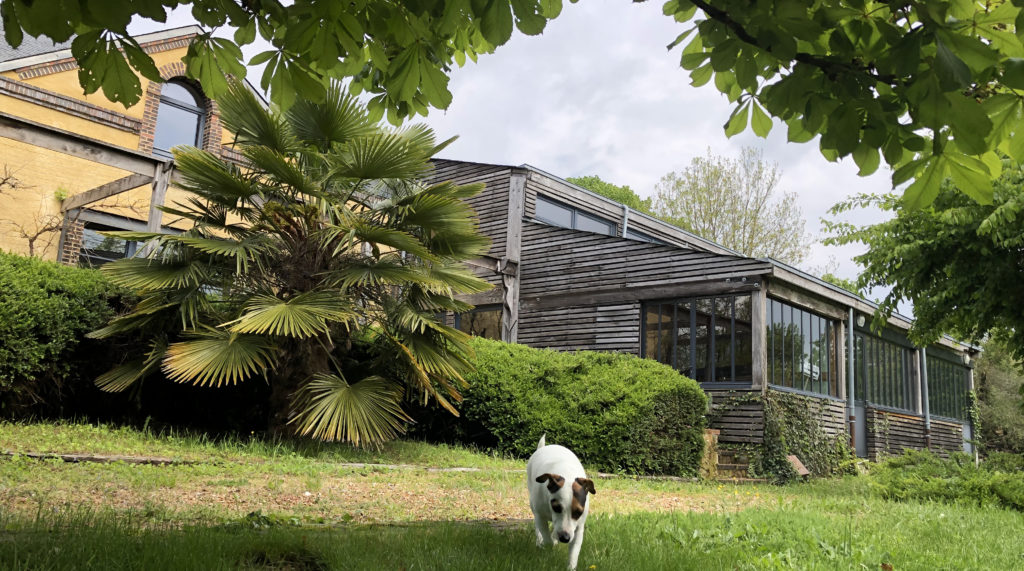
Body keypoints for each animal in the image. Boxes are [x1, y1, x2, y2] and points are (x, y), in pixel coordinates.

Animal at [528, 435, 593, 568]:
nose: (565, 538)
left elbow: (574, 552)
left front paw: (571, 566)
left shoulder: (578, 528)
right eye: (556, 507)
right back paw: (540, 541)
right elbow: (546, 537)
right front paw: (548, 545)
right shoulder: (541, 516)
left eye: (578, 512)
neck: (567, 474)